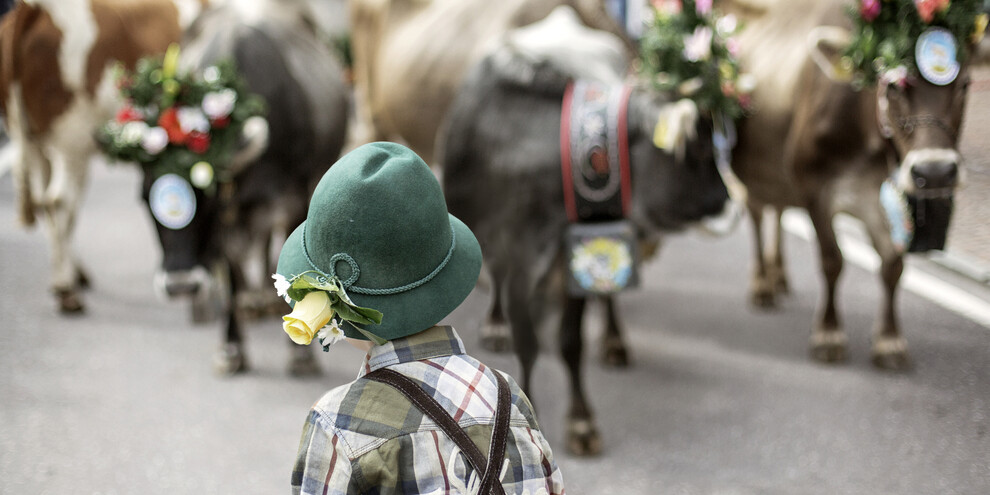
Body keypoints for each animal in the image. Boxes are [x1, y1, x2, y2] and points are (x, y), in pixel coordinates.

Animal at [0, 0, 204, 314]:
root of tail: (34, 9)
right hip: (70, 138)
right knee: (58, 202)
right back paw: (66, 290)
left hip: (38, 140)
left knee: (50, 202)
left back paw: (72, 274)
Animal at [139, 0, 348, 374]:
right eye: (142, 200)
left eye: (209, 202)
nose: (180, 285)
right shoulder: (228, 226)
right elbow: (233, 279)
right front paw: (231, 347)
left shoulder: (294, 201)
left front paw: (300, 354)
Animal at [438, 8, 732, 458]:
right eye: (698, 149)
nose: (727, 198)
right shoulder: (519, 255)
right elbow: (527, 341)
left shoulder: (568, 257)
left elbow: (569, 342)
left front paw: (580, 422)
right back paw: (496, 324)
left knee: (607, 293)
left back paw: (613, 340)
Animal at [724, 0, 980, 370]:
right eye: (893, 86)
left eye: (965, 84)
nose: (934, 172)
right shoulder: (812, 186)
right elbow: (833, 260)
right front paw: (829, 334)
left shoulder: (882, 197)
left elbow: (893, 265)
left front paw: (889, 340)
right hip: (755, 171)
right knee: (758, 213)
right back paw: (762, 284)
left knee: (779, 211)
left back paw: (779, 276)